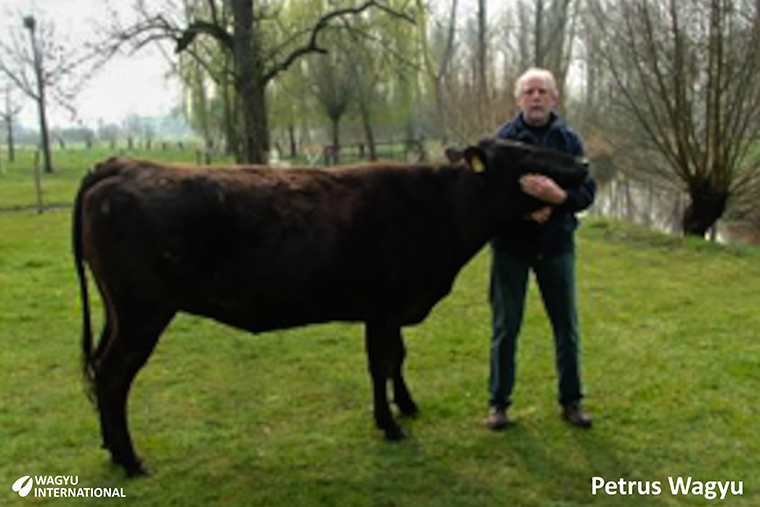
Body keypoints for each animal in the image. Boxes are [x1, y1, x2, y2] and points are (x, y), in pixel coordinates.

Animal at [72, 138, 588, 476]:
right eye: (524, 153)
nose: (583, 161)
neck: (440, 210)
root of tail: (120, 164)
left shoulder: (390, 310)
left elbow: (397, 358)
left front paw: (406, 405)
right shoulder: (383, 306)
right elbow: (381, 362)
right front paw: (389, 423)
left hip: (119, 312)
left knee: (99, 367)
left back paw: (111, 447)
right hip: (141, 313)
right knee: (114, 375)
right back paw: (131, 460)